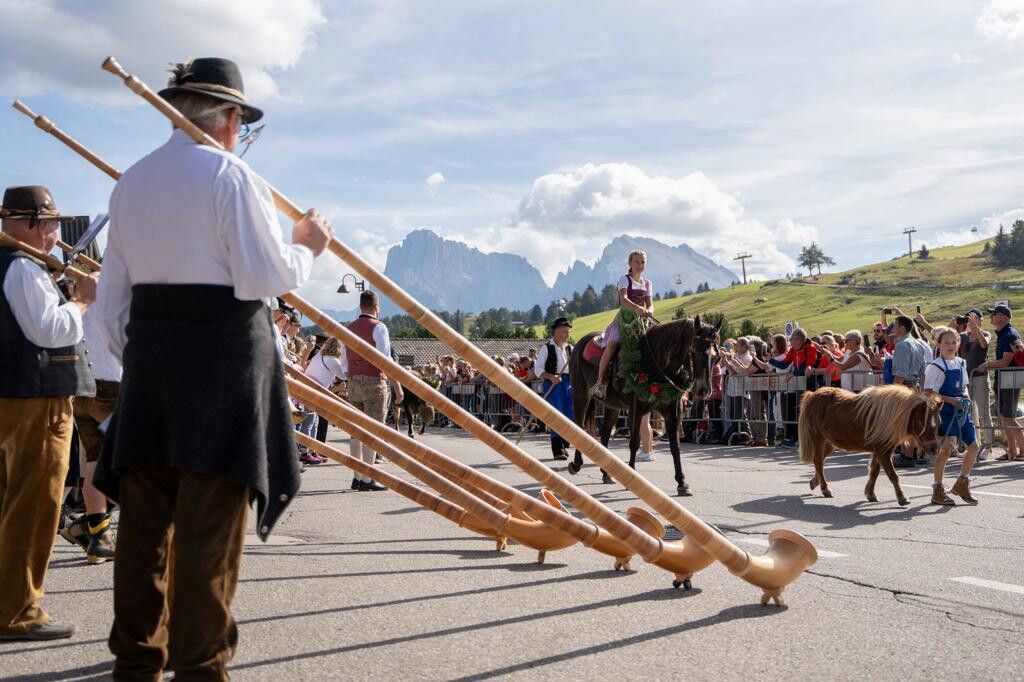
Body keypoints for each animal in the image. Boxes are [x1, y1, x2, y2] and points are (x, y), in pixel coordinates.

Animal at [569, 313, 720, 493]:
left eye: (716, 357)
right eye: (697, 352)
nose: (704, 391)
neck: (656, 361)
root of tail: (579, 344)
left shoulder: (672, 412)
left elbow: (675, 446)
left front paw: (682, 482)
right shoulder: (636, 409)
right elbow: (634, 442)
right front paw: (631, 476)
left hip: (612, 406)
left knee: (605, 433)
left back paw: (606, 474)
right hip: (581, 396)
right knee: (579, 426)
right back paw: (576, 464)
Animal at [794, 382, 937, 503]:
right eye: (921, 422)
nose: (934, 449)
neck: (886, 417)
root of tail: (812, 394)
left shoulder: (881, 451)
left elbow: (874, 472)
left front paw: (870, 493)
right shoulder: (883, 452)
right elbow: (892, 475)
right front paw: (902, 497)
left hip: (829, 443)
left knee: (819, 462)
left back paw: (815, 482)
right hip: (818, 439)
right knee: (818, 462)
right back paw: (825, 489)